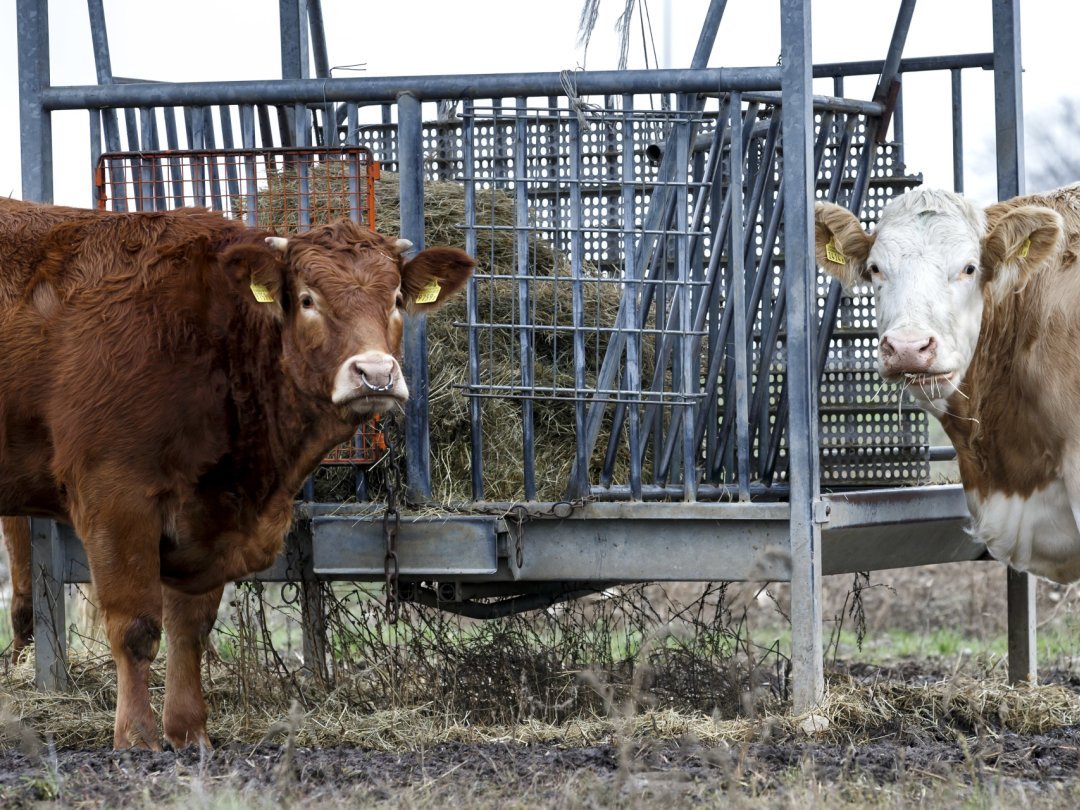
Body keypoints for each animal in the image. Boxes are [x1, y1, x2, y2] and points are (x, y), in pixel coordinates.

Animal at [0, 199, 473, 751]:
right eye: (307, 299)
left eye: (396, 298)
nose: (375, 374)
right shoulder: (114, 494)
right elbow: (137, 628)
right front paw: (136, 737)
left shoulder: (208, 516)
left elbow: (190, 629)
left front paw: (189, 732)